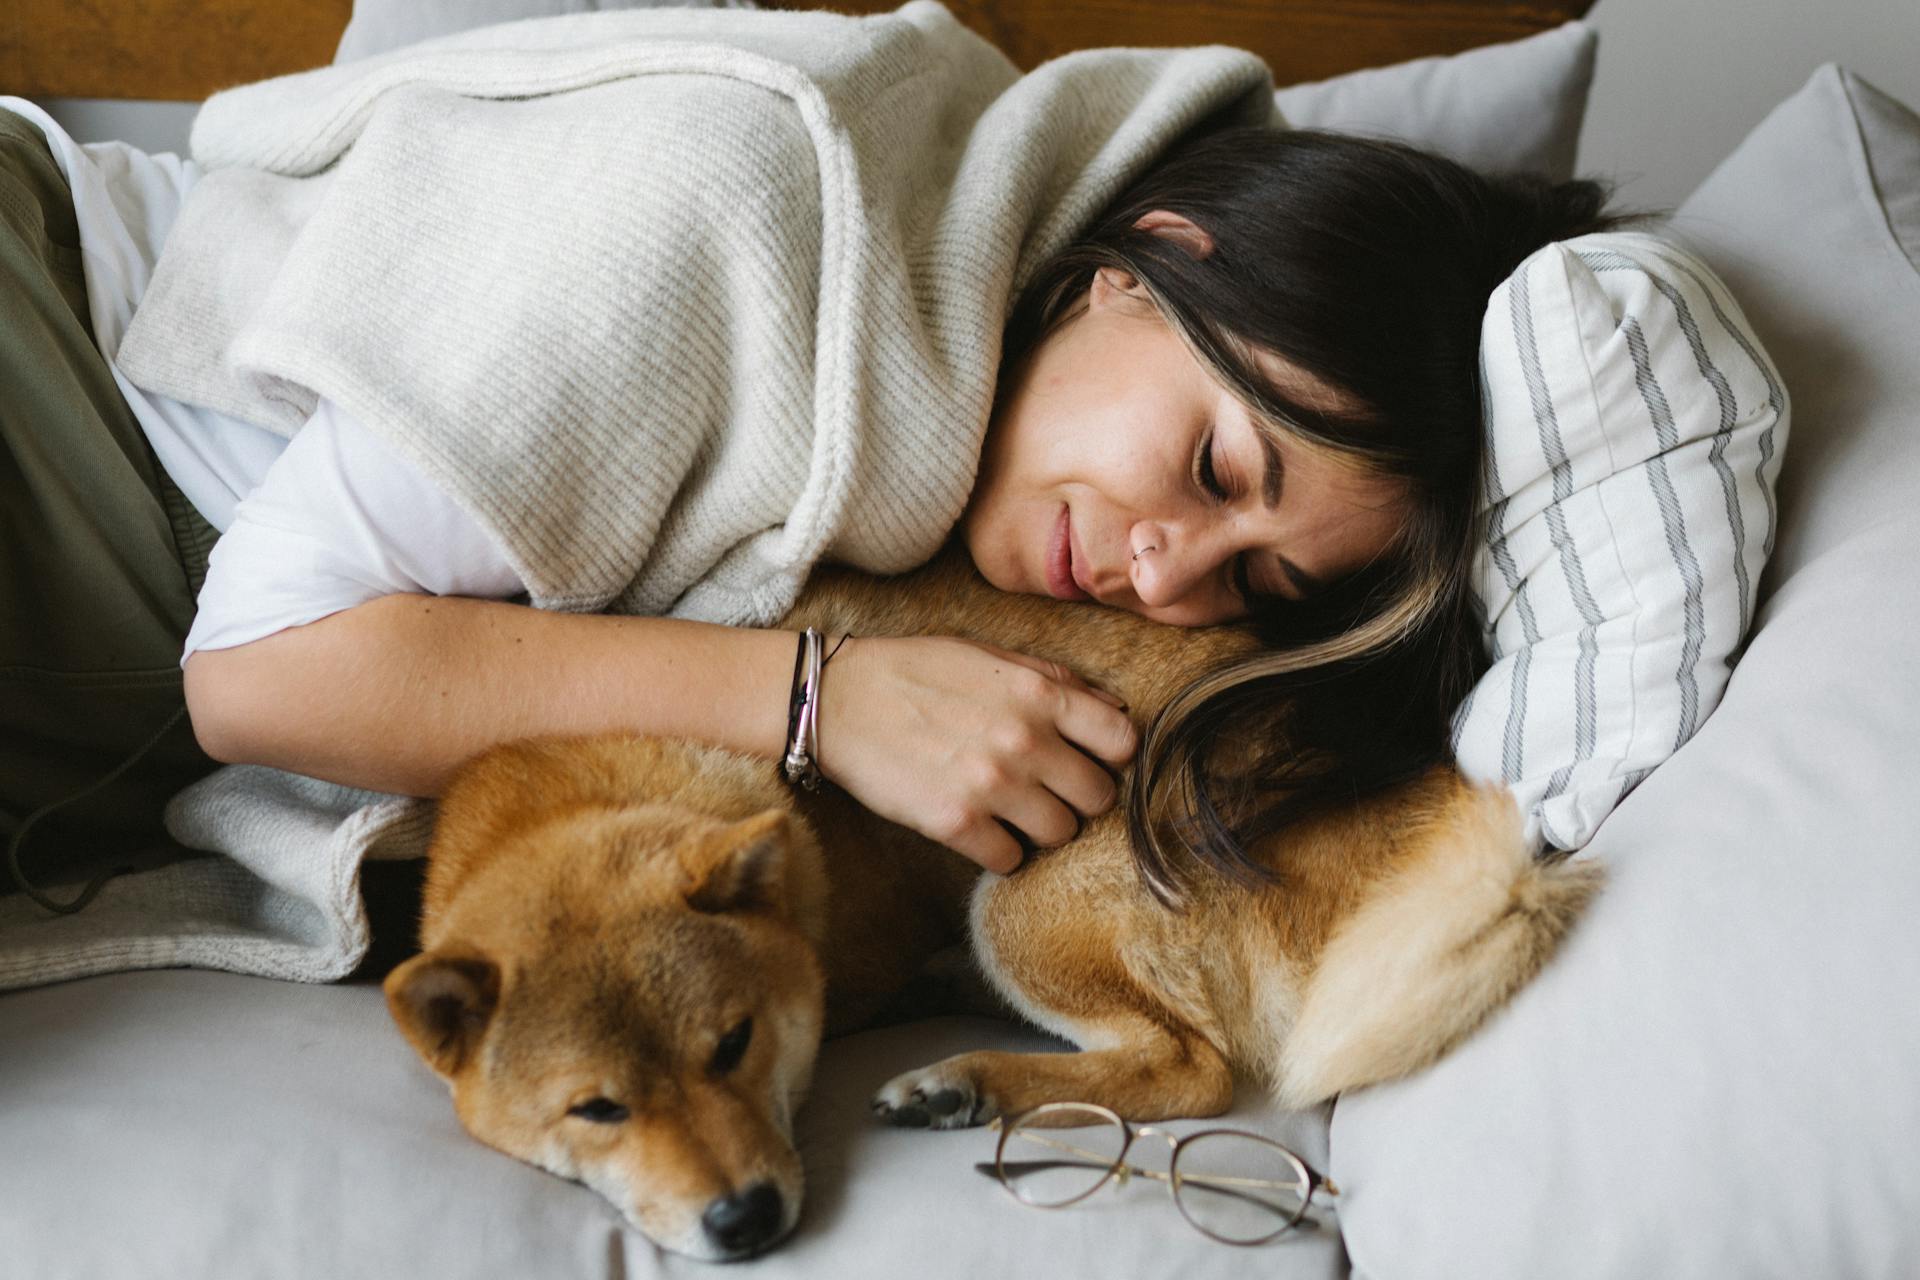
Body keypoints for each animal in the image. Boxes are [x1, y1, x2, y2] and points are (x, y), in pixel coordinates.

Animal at [382, 541, 1597, 1258]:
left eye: (733, 1045)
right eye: (596, 1109)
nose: (745, 1220)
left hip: (1017, 903)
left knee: (1185, 1066)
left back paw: (962, 1079)